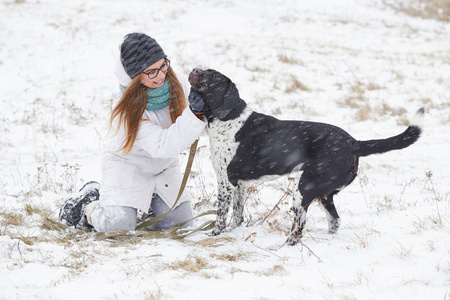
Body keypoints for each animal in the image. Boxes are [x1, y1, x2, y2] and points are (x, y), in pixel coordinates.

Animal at [188, 68, 424, 246]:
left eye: (217, 77)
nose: (195, 69)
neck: (228, 118)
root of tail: (354, 143)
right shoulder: (240, 185)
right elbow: (237, 216)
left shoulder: (225, 182)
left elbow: (220, 216)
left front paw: (213, 235)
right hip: (324, 194)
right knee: (334, 221)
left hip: (302, 191)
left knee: (297, 231)